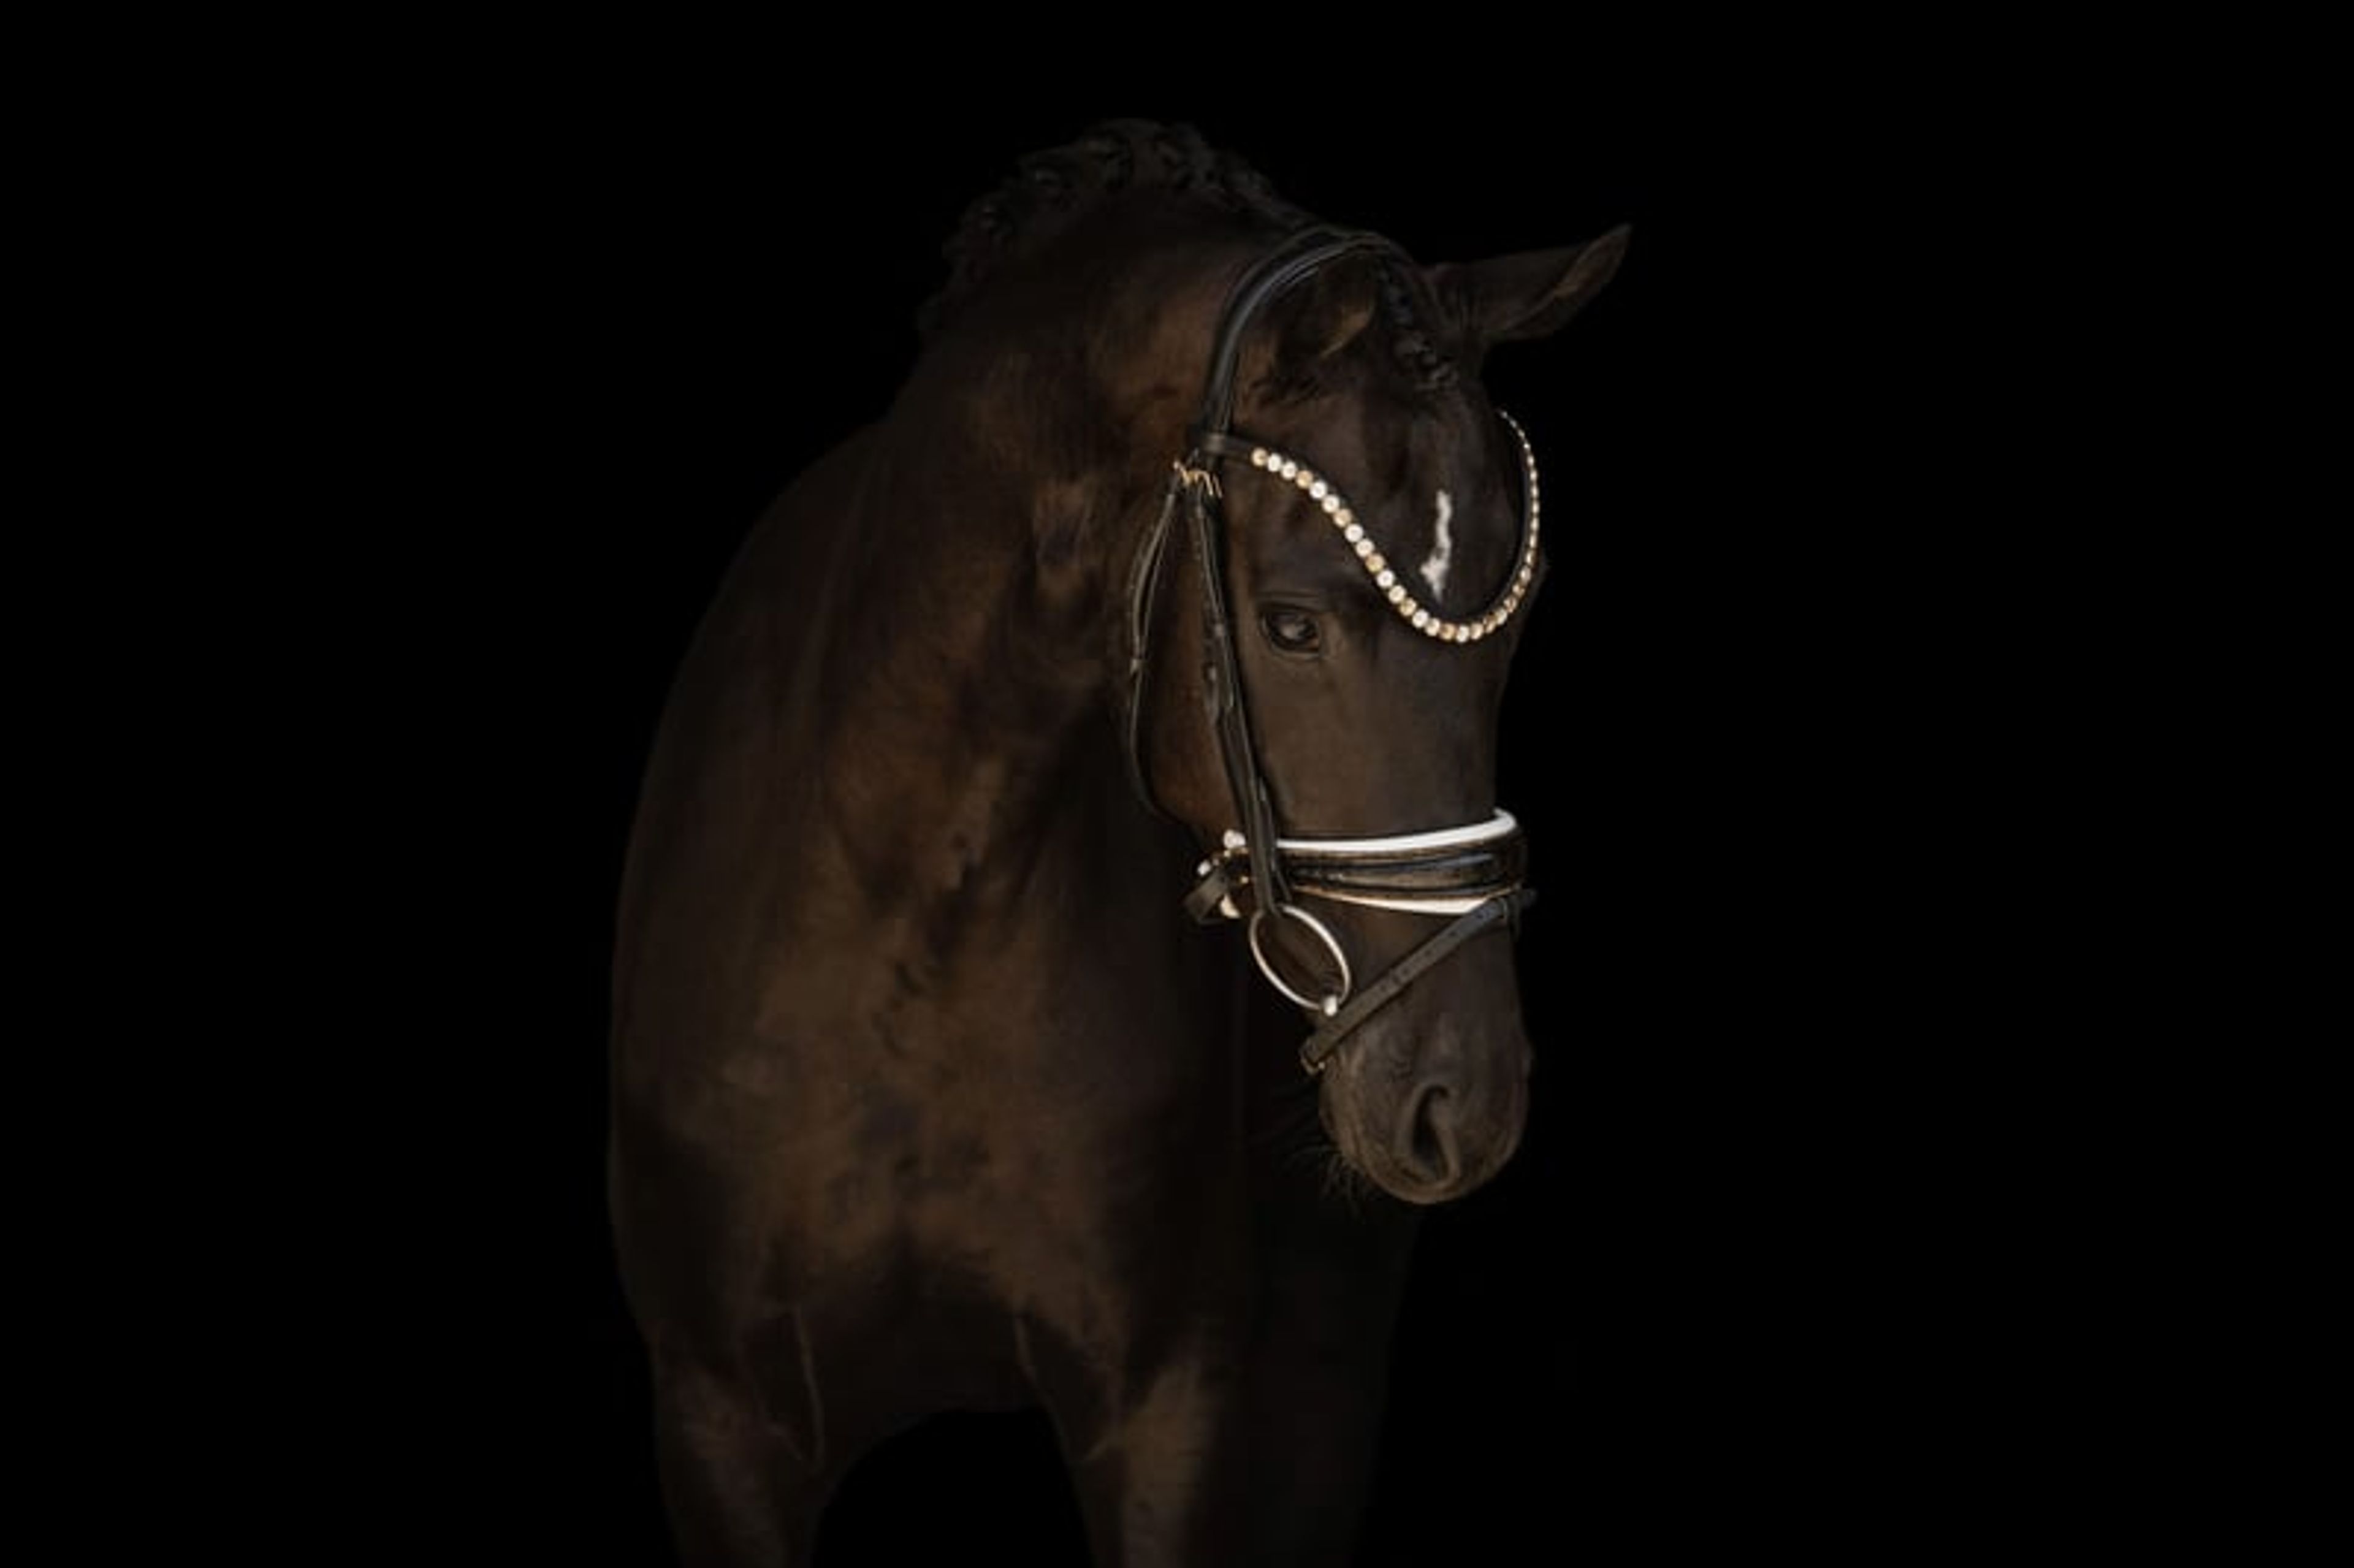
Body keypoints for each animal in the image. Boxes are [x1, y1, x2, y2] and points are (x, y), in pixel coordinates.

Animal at [609, 119, 1627, 1566]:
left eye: (1523, 615)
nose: (1465, 1099)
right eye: (1293, 622)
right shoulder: (721, 1424)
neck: (912, 913)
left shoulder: (1170, 1407)